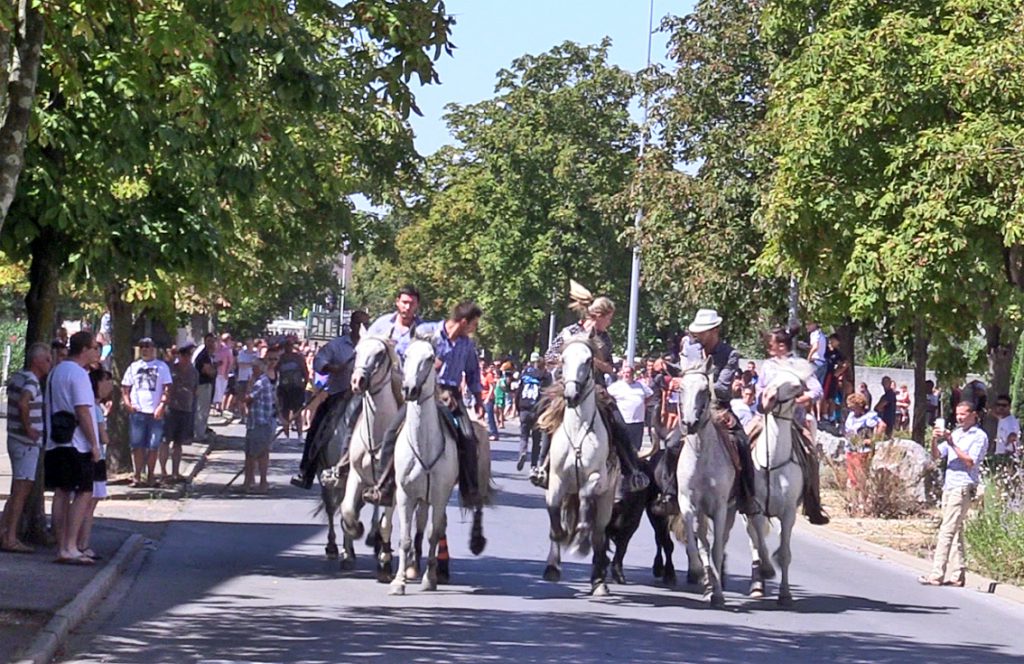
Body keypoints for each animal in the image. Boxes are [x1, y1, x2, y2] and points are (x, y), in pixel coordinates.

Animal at [335, 338, 399, 582]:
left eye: (380, 353)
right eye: (356, 351)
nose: (357, 381)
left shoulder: (393, 488)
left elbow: (386, 525)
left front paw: (385, 563)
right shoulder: (356, 477)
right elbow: (348, 510)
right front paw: (355, 531)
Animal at [389, 338, 458, 598]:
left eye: (430, 358)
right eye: (405, 355)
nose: (410, 389)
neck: (424, 445)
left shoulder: (439, 496)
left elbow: (432, 534)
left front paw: (430, 578)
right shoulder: (405, 495)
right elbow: (405, 538)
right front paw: (398, 581)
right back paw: (410, 568)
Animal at [540, 338, 618, 598]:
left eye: (588, 360)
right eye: (563, 359)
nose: (571, 395)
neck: (578, 430)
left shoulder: (597, 477)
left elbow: (586, 498)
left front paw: (580, 540)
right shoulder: (556, 480)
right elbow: (553, 514)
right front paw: (554, 561)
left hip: (607, 499)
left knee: (599, 535)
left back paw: (599, 581)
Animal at [671, 358, 737, 606]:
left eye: (704, 391)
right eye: (680, 389)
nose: (690, 423)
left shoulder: (719, 508)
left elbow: (717, 547)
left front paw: (718, 592)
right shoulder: (688, 504)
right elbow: (694, 543)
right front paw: (700, 574)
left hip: (731, 511)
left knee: (721, 542)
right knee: (702, 543)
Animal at [749, 360, 811, 602]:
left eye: (795, 385)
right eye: (771, 378)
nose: (766, 399)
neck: (772, 462)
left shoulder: (788, 513)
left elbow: (784, 553)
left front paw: (785, 594)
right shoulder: (755, 509)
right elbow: (759, 544)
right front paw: (766, 571)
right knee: (753, 542)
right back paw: (757, 584)